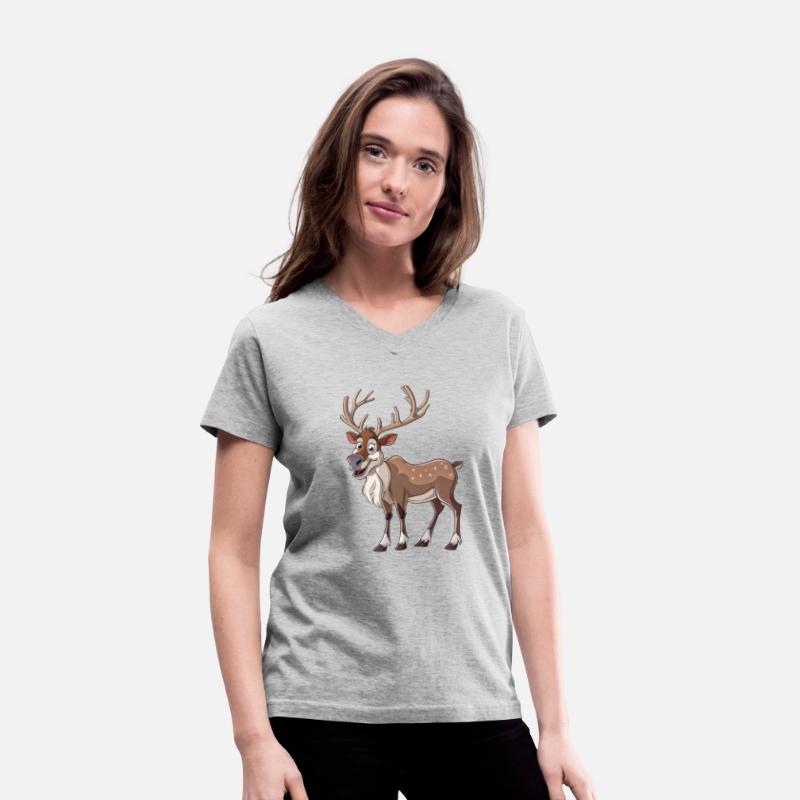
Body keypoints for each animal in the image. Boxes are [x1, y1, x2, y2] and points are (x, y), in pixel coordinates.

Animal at [340, 385, 464, 552]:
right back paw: (423, 540)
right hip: (434, 496)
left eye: (372, 447)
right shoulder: (385, 500)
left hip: (445, 490)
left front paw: (401, 543)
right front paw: (382, 544)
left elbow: (401, 513)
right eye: (358, 444)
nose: (353, 460)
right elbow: (388, 515)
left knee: (457, 507)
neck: (386, 482)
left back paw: (452, 543)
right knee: (439, 509)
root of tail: (454, 466)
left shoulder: (401, 494)